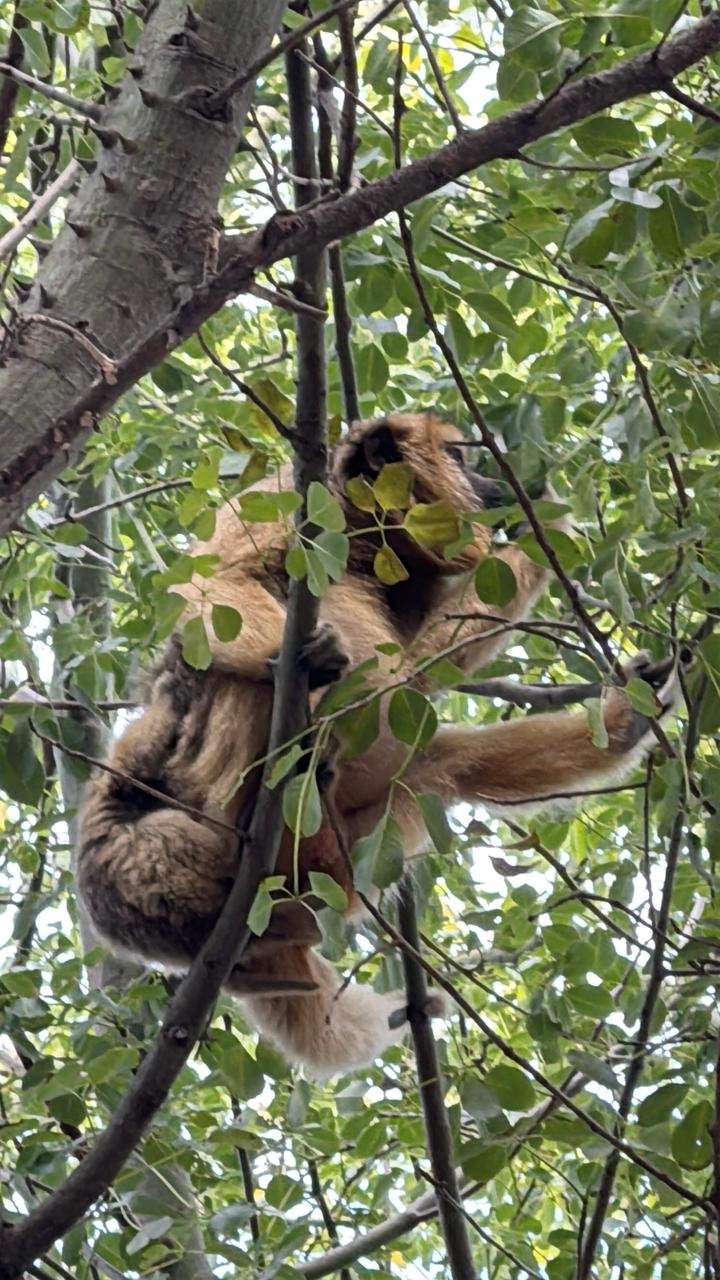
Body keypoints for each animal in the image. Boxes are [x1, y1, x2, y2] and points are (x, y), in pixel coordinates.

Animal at [77, 412, 678, 1078]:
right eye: (462, 459)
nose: (492, 486)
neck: (360, 532)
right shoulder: (290, 501)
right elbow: (212, 587)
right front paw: (547, 521)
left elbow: (426, 664)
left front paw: (540, 523)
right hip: (173, 846)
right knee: (245, 671)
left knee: (439, 763)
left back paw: (623, 724)